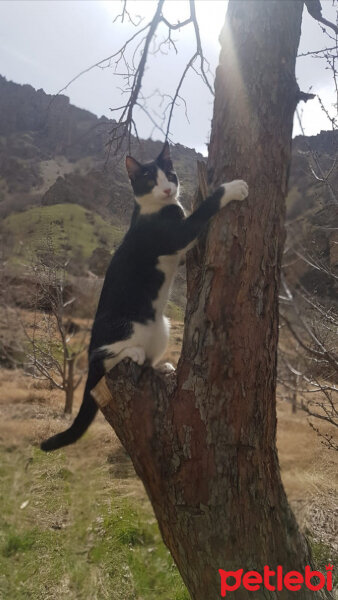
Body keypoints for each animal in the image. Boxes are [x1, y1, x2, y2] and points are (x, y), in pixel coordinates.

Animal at [41, 141, 248, 450]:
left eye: (170, 175)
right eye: (150, 180)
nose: (167, 189)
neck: (156, 209)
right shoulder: (177, 234)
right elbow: (206, 206)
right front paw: (233, 187)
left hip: (162, 328)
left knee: (147, 361)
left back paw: (162, 367)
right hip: (122, 328)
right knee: (106, 356)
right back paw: (132, 352)